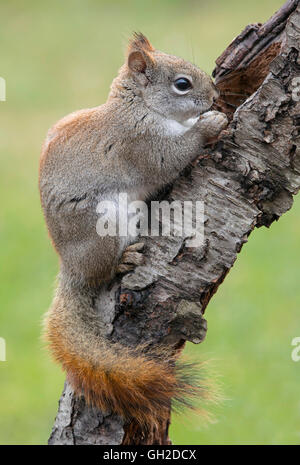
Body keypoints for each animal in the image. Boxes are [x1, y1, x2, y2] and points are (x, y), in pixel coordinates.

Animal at [39, 32, 227, 428]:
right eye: (182, 84)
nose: (215, 94)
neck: (137, 106)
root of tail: (71, 268)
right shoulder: (140, 143)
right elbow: (172, 156)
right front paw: (210, 123)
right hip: (104, 225)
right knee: (103, 271)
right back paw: (125, 259)